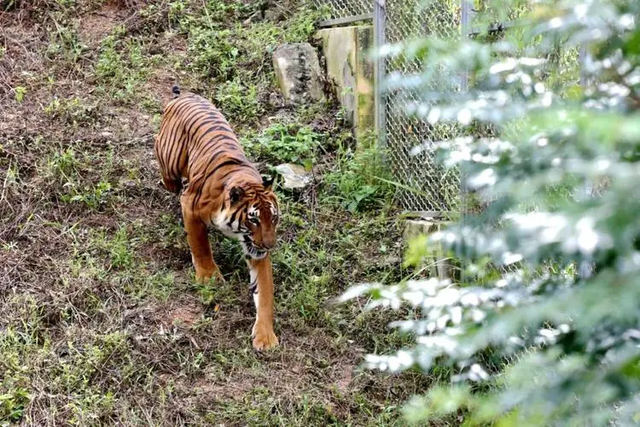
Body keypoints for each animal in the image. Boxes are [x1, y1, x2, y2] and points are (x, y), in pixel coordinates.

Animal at [155, 86, 280, 352]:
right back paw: (171, 183)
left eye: (273, 219)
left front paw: (265, 336)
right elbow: (201, 246)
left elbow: (264, 292)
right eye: (254, 220)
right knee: (159, 152)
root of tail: (184, 94)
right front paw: (209, 278)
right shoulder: (190, 207)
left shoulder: (254, 250)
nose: (270, 245)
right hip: (171, 159)